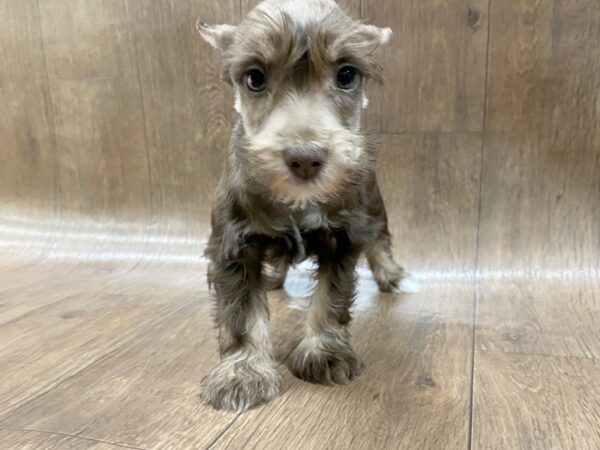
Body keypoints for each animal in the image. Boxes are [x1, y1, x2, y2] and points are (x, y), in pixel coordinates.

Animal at [199, 0, 410, 412]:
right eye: (254, 78)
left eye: (347, 74)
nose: (305, 158)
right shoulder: (234, 246)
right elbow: (241, 314)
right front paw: (242, 373)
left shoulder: (342, 239)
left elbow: (331, 298)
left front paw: (324, 354)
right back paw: (273, 278)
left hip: (373, 206)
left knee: (381, 239)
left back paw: (390, 274)